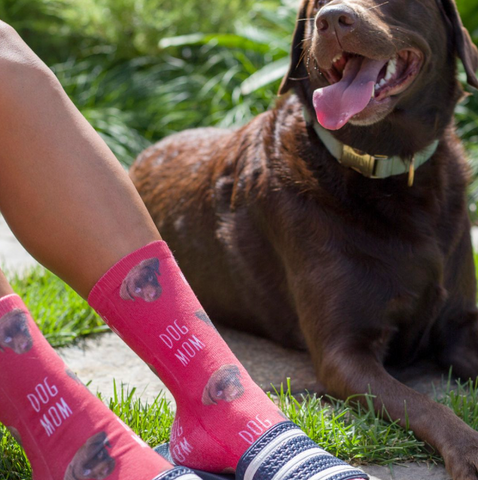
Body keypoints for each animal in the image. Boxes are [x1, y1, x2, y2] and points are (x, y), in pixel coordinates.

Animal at [130, 0, 478, 476]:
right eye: (315, 7)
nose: (331, 18)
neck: (391, 170)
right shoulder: (343, 356)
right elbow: (426, 405)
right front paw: (470, 448)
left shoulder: (461, 325)